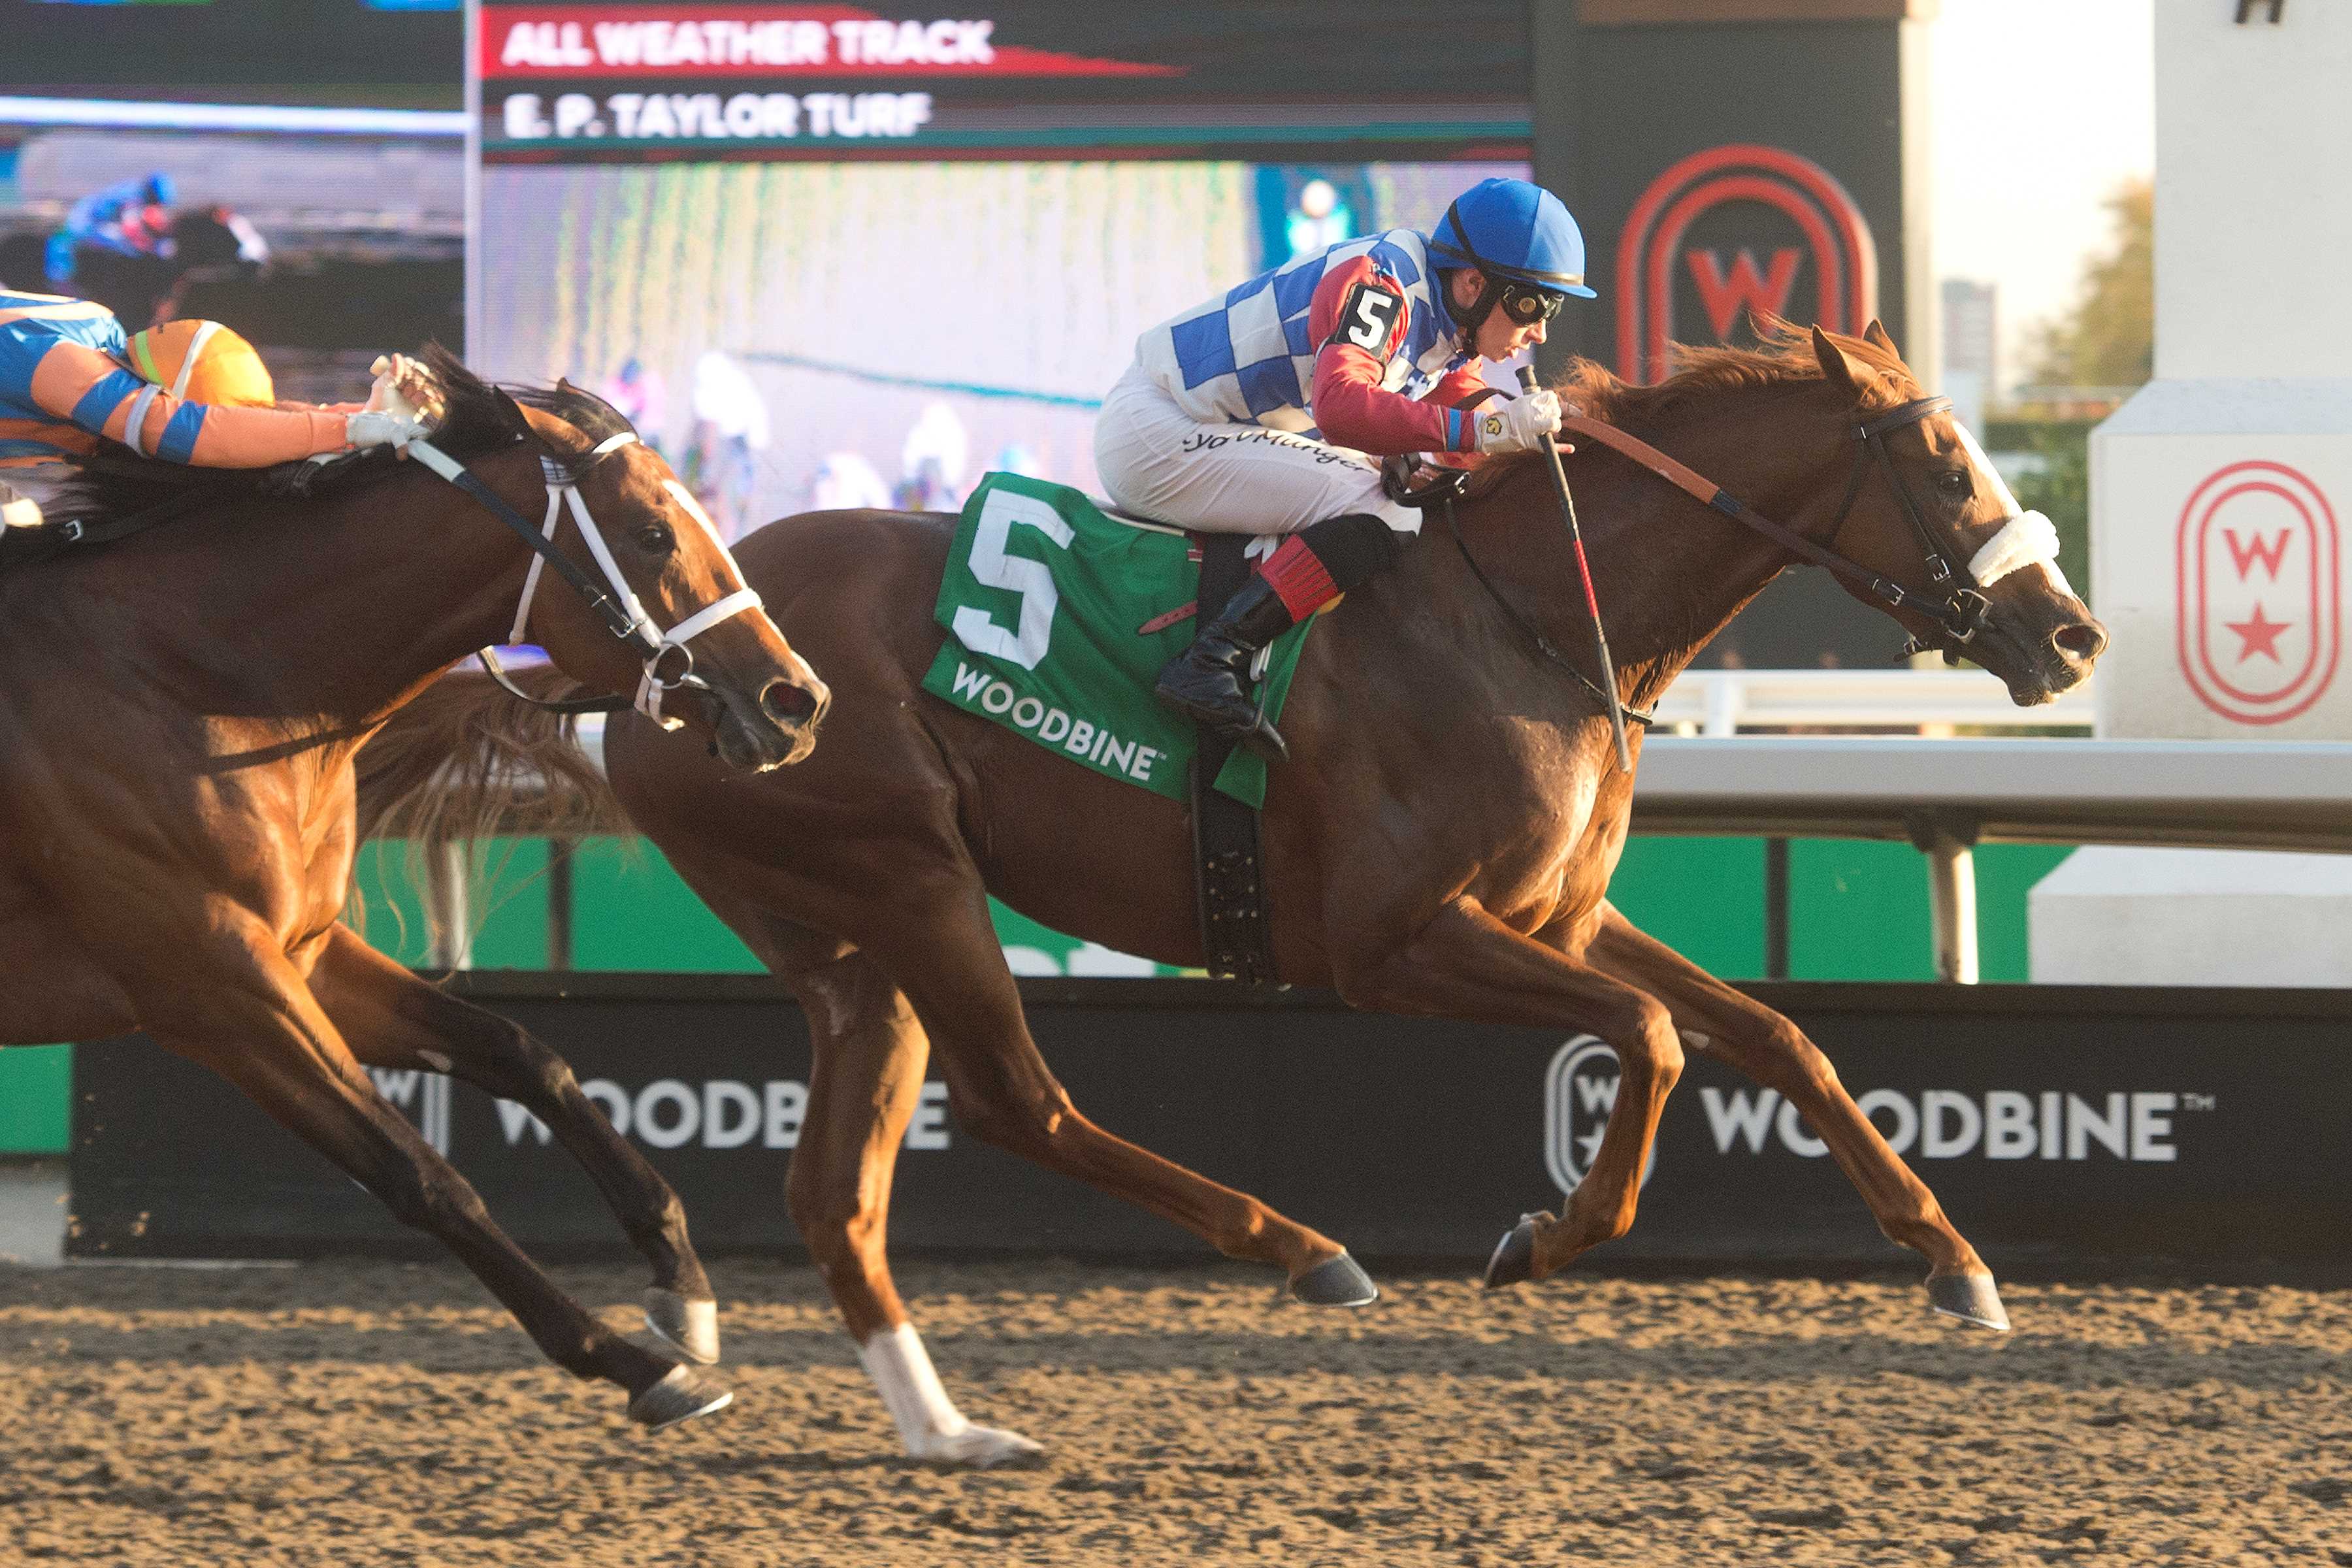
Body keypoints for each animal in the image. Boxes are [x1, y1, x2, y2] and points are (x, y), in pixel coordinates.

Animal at [0, 345, 832, 1439]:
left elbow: (525, 1054)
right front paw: (631, 1361)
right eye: (653, 532)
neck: (186, 677)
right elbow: (422, 1175)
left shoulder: (302, 953)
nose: (797, 699)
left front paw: (682, 1290)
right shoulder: (212, 986)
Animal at [371, 324, 2117, 1467]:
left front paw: (1956, 1263)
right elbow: (1654, 1043)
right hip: (909, 871)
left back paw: (934, 1412)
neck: (1528, 612)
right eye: (1946, 457)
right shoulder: (1394, 941)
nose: (2072, 632)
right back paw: (1301, 1245)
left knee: (840, 1181)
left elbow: (1774, 1034)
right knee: (1013, 1100)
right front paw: (1545, 1234)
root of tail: (658, 666)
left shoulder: (1552, 918)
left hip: (837, 932)